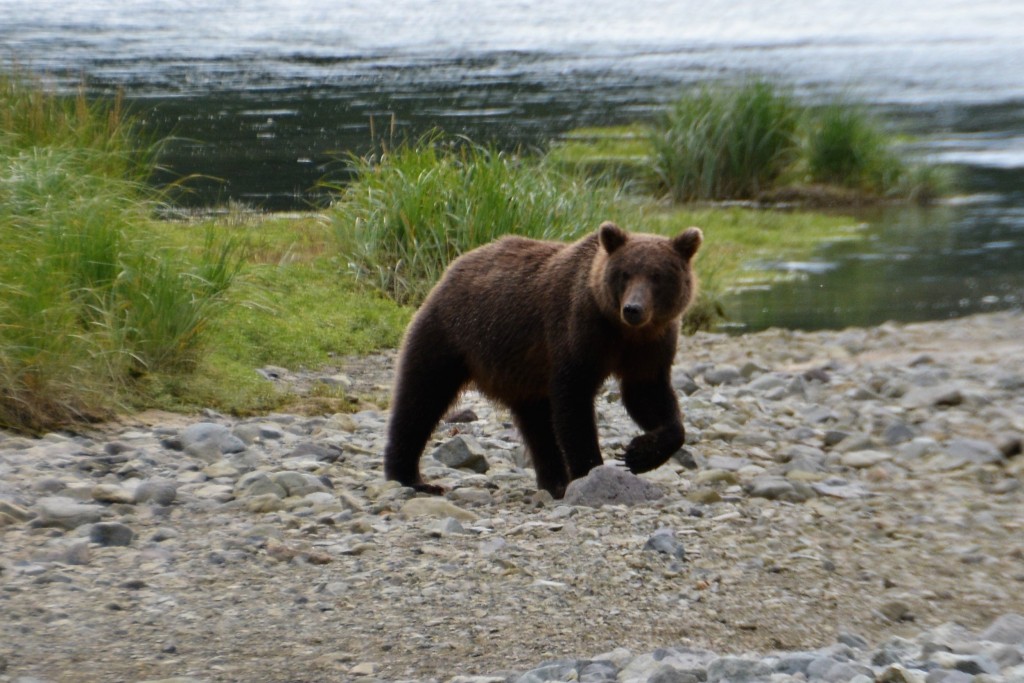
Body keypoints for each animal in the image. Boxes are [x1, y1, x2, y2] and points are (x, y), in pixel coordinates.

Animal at [385, 223, 704, 497]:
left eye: (657, 275)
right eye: (625, 273)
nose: (633, 308)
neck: (623, 332)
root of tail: (452, 268)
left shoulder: (651, 346)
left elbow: (648, 395)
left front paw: (639, 453)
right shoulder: (580, 332)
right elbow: (574, 400)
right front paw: (592, 470)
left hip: (520, 371)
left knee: (537, 425)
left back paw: (554, 482)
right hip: (450, 334)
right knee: (421, 398)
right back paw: (410, 477)